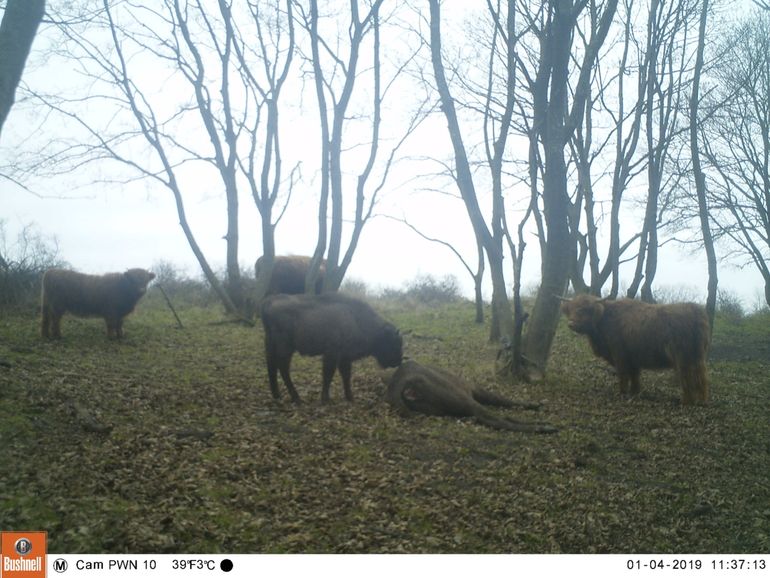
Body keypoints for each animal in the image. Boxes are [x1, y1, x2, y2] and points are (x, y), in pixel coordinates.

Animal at [260, 292, 402, 400]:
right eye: (394, 342)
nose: (398, 361)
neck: (356, 319)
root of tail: (268, 302)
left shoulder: (344, 357)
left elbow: (346, 376)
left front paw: (350, 397)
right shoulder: (332, 354)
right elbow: (328, 375)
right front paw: (326, 398)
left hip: (270, 344)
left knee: (271, 366)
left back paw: (277, 395)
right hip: (286, 347)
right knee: (282, 368)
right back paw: (296, 398)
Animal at [560, 294, 708, 402]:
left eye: (583, 309)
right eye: (570, 309)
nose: (570, 324)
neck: (604, 320)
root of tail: (696, 310)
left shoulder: (619, 354)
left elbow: (623, 374)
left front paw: (623, 392)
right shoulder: (633, 358)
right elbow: (634, 375)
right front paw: (635, 392)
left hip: (683, 356)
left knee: (686, 376)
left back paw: (687, 400)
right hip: (697, 356)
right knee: (700, 376)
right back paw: (700, 400)